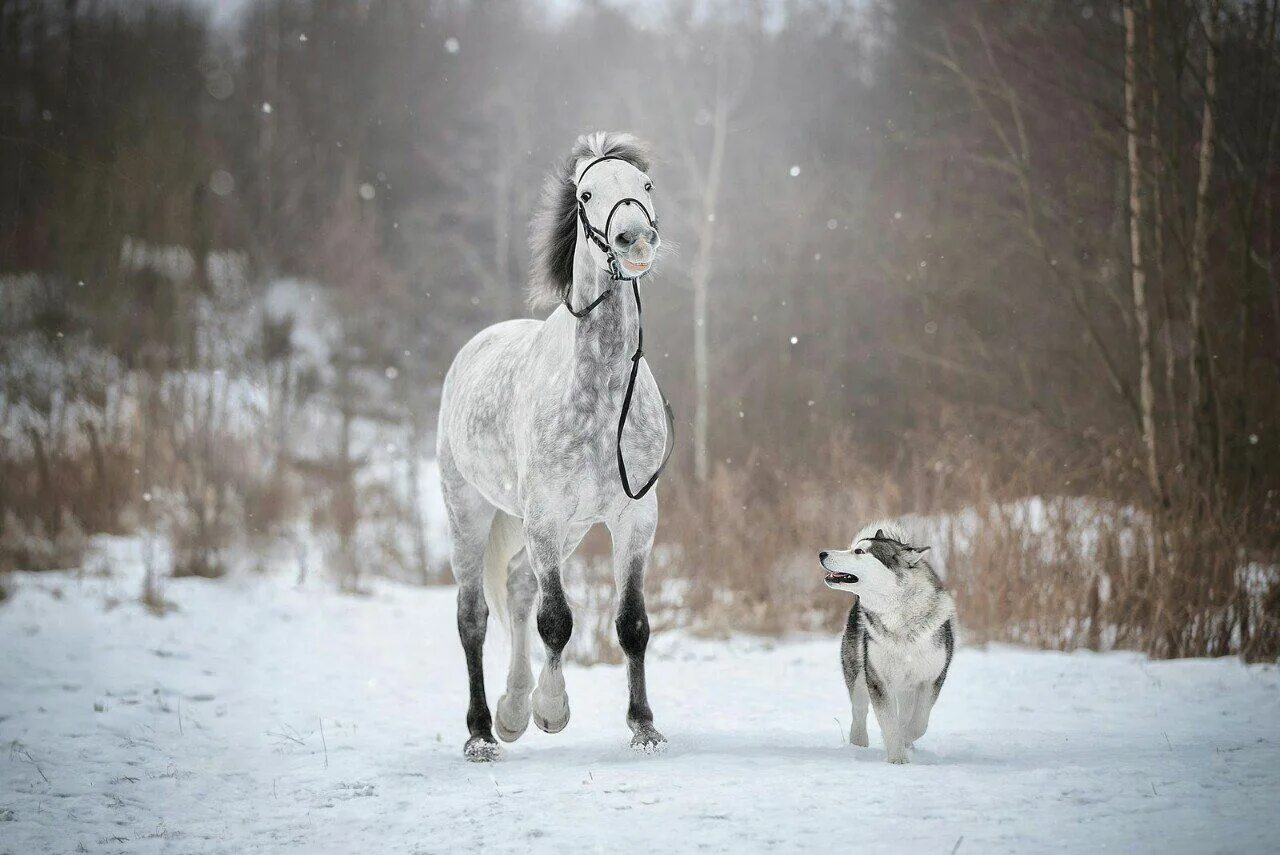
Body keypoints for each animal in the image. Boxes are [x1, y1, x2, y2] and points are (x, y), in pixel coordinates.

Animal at [440, 130, 675, 757]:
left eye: (646, 185)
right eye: (586, 194)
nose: (635, 239)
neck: (598, 395)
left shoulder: (634, 519)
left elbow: (632, 623)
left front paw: (644, 726)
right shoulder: (543, 515)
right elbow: (557, 621)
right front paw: (552, 710)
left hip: (565, 530)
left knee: (520, 586)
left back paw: (510, 711)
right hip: (470, 513)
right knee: (474, 617)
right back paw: (482, 732)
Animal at [819, 524, 952, 762]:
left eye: (859, 551)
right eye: (854, 547)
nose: (822, 553)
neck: (900, 618)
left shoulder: (932, 678)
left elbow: (919, 723)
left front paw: (905, 741)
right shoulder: (877, 679)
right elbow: (889, 721)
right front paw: (897, 758)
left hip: (907, 688)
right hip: (857, 673)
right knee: (859, 712)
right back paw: (859, 743)